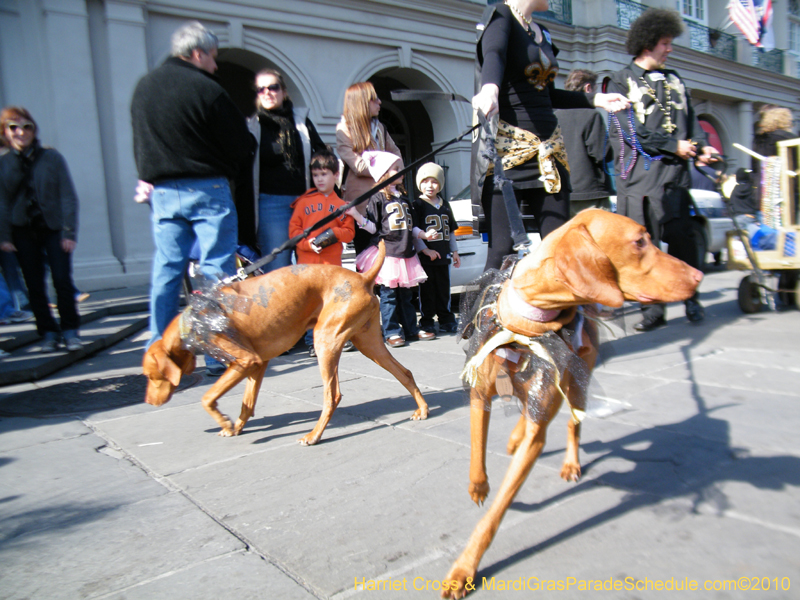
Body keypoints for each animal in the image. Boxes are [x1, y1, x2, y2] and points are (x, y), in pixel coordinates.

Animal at [144, 241, 432, 442]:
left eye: (149, 375)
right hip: (369, 344)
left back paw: (314, 435)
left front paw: (225, 422)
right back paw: (422, 410)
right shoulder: (256, 364)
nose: (147, 402)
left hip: (325, 340)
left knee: (333, 395)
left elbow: (207, 397)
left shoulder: (245, 361)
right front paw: (236, 427)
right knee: (404, 372)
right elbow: (247, 403)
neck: (195, 319)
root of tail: (362, 277)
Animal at [444, 211, 700, 596]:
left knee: (567, 422)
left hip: (576, 383)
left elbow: (496, 512)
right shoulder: (480, 392)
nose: (698, 276)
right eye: (639, 241)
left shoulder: (539, 422)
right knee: (528, 413)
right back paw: (515, 438)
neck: (525, 328)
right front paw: (479, 486)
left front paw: (464, 568)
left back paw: (570, 463)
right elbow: (477, 451)